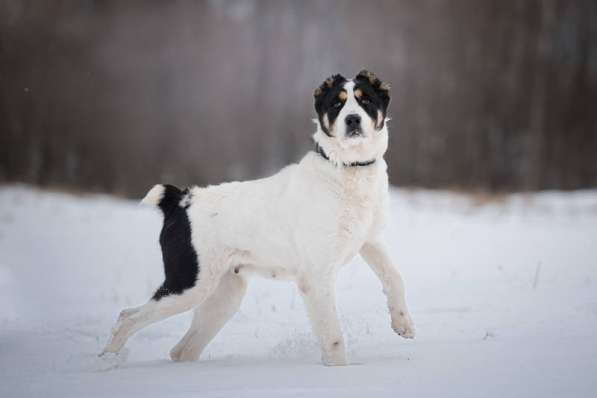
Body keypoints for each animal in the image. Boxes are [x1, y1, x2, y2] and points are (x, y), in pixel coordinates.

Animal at [101, 70, 414, 366]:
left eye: (366, 100)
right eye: (337, 104)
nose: (352, 120)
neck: (348, 169)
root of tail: (180, 200)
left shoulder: (369, 240)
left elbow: (394, 276)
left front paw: (403, 324)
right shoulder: (316, 276)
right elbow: (333, 336)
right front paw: (340, 371)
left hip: (223, 295)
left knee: (181, 350)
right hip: (188, 284)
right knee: (127, 318)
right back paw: (106, 362)